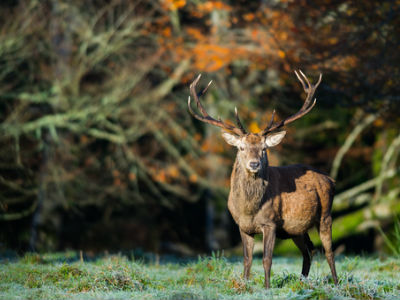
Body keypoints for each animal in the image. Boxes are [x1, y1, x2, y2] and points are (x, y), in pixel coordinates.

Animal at [188, 71, 338, 288]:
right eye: (241, 147)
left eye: (264, 148)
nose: (254, 164)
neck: (249, 209)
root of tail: (330, 180)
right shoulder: (242, 226)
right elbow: (247, 260)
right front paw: (244, 286)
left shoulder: (271, 223)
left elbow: (267, 259)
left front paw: (266, 289)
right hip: (296, 229)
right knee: (309, 251)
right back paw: (302, 283)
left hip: (325, 214)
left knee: (329, 251)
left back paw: (336, 284)